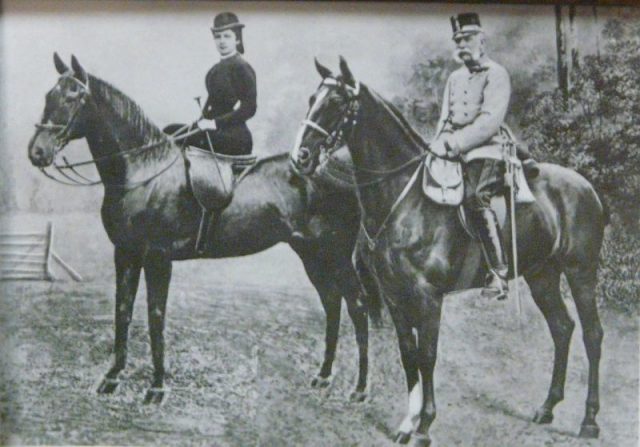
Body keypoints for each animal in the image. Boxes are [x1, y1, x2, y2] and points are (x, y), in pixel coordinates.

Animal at [28, 53, 380, 406]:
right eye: (48, 95)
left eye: (73, 97)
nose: (37, 152)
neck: (143, 171)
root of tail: (339, 170)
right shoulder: (125, 253)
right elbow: (123, 311)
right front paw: (112, 377)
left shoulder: (158, 257)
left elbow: (155, 316)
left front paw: (156, 387)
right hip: (311, 253)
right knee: (332, 302)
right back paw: (323, 376)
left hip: (335, 254)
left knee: (357, 304)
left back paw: (360, 388)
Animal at [292, 58, 608, 444]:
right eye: (312, 99)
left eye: (337, 102)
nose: (300, 156)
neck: (404, 200)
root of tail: (587, 188)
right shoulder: (394, 295)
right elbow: (408, 354)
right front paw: (407, 423)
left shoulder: (428, 297)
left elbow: (427, 355)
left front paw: (425, 424)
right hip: (542, 276)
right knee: (562, 328)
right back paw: (547, 408)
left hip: (580, 272)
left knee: (593, 334)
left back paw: (589, 420)